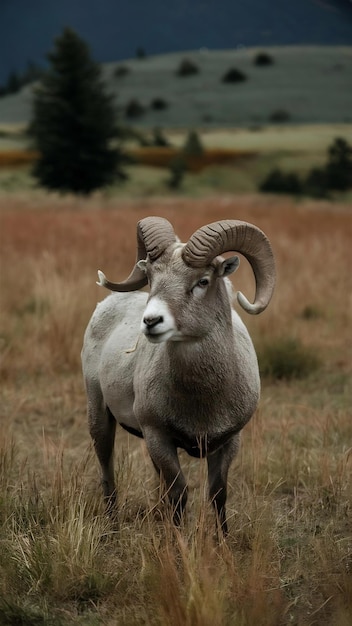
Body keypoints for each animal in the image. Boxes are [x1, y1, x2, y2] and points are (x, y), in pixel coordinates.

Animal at [82, 216, 276, 532]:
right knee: (107, 470)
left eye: (203, 281)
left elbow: (218, 493)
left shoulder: (229, 442)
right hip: (99, 413)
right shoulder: (159, 438)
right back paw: (112, 527)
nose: (151, 321)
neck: (202, 400)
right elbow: (179, 494)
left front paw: (222, 540)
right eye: (152, 277)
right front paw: (178, 539)